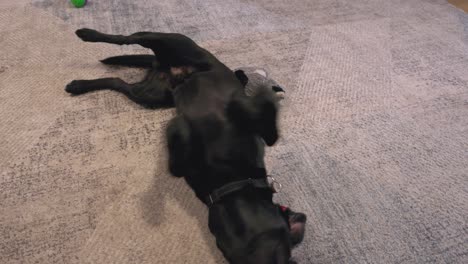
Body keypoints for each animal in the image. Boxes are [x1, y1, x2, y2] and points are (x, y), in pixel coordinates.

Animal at [66, 27, 308, 262]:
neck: (236, 181)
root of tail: (167, 67)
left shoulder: (185, 169)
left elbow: (174, 163)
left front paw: (178, 128)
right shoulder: (257, 135)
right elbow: (270, 131)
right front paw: (261, 98)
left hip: (150, 94)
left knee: (118, 82)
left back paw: (79, 85)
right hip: (173, 43)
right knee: (128, 37)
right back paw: (86, 33)